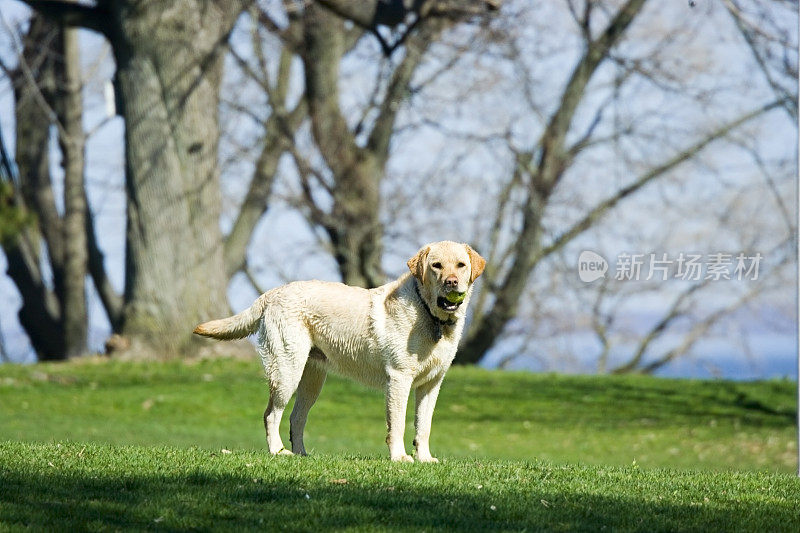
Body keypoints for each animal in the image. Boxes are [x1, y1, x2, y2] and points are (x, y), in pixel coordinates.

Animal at [192, 241, 488, 462]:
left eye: (461, 265)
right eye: (436, 266)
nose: (452, 282)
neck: (430, 315)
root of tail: (273, 292)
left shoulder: (431, 384)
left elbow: (423, 426)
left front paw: (425, 459)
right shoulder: (399, 379)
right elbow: (398, 424)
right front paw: (400, 458)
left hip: (311, 381)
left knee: (296, 418)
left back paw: (301, 455)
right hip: (287, 371)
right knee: (271, 415)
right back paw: (278, 452)